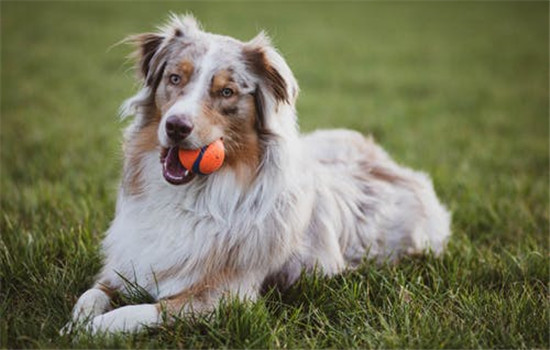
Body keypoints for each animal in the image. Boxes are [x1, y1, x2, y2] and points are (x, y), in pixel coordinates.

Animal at [64, 13, 452, 334]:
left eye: (226, 91)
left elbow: (141, 310)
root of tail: (392, 164)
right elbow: (90, 295)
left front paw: (91, 329)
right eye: (175, 78)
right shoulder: (124, 266)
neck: (192, 195)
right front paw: (75, 322)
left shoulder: (225, 297)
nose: (175, 127)